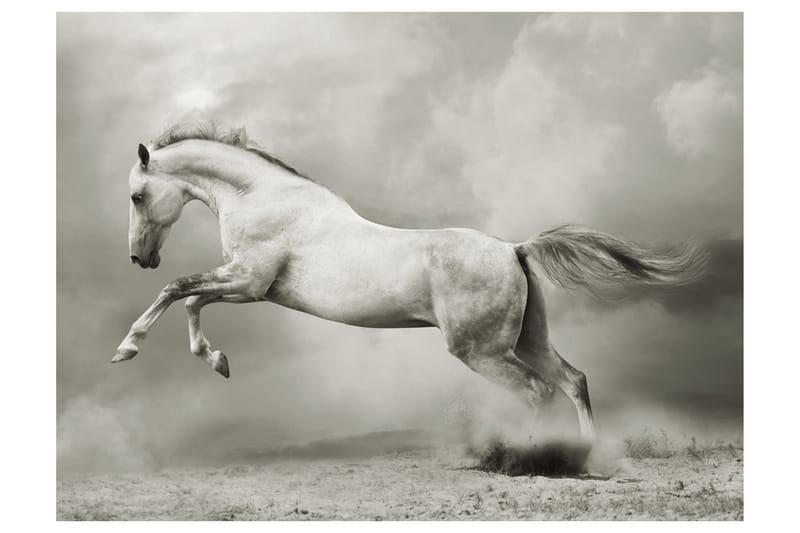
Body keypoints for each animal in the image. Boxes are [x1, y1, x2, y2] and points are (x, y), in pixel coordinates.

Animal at [112, 121, 707, 441]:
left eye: (137, 196)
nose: (139, 258)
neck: (264, 199)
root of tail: (513, 249)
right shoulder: (243, 286)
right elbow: (190, 302)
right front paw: (218, 361)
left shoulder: (249, 283)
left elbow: (178, 292)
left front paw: (127, 349)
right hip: (527, 339)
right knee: (573, 381)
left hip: (482, 351)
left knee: (538, 392)